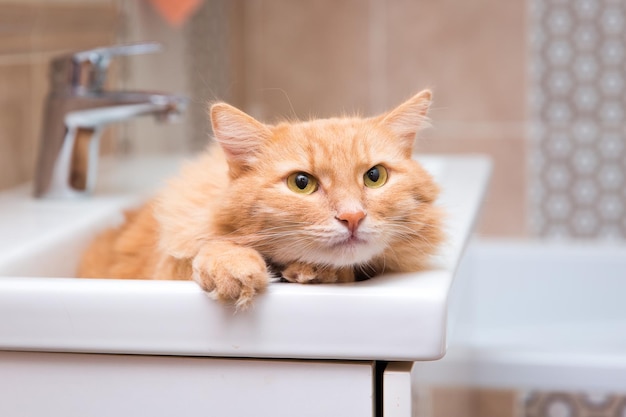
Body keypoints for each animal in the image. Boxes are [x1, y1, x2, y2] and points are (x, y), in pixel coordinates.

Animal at [78, 89, 442, 308]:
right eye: (301, 183)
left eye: (374, 176)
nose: (352, 217)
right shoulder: (163, 264)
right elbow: (208, 249)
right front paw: (233, 266)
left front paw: (316, 271)